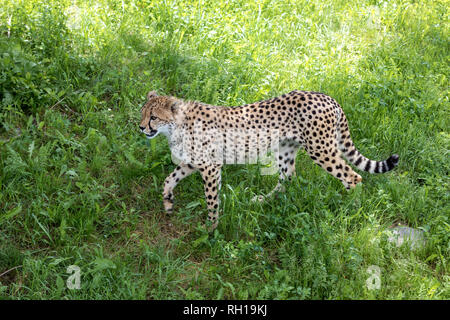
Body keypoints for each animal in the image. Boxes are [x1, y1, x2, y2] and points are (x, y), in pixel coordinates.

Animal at [139, 90, 400, 230]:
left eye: (153, 117)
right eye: (142, 114)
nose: (141, 127)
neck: (177, 126)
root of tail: (327, 97)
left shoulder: (211, 167)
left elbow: (211, 199)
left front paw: (211, 226)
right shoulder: (193, 162)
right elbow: (169, 179)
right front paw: (168, 202)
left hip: (321, 149)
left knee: (352, 176)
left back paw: (347, 211)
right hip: (286, 148)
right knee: (288, 178)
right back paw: (264, 200)